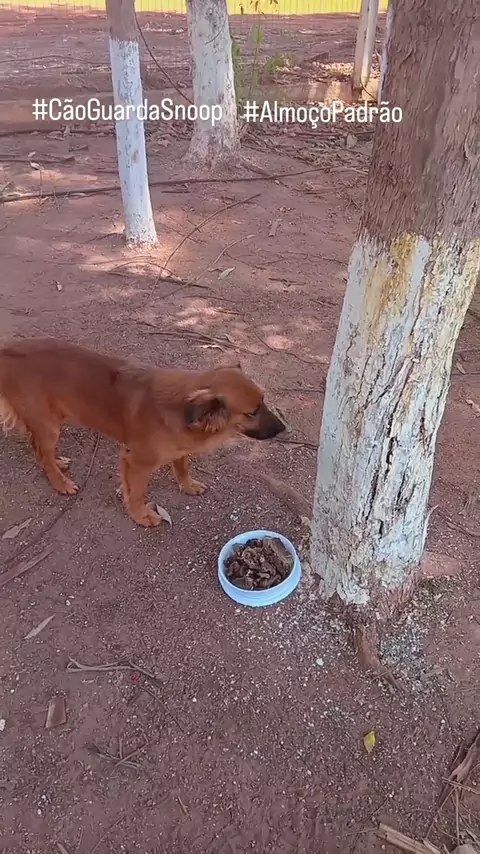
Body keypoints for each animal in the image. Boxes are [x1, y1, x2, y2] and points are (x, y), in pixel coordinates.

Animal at [0, 337, 285, 527]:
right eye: (252, 412)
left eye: (263, 400)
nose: (283, 428)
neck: (183, 409)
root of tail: (8, 351)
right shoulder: (135, 463)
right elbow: (136, 495)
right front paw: (142, 516)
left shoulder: (180, 448)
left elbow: (182, 466)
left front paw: (188, 485)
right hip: (50, 426)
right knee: (43, 453)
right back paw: (60, 482)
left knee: (38, 448)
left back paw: (58, 464)